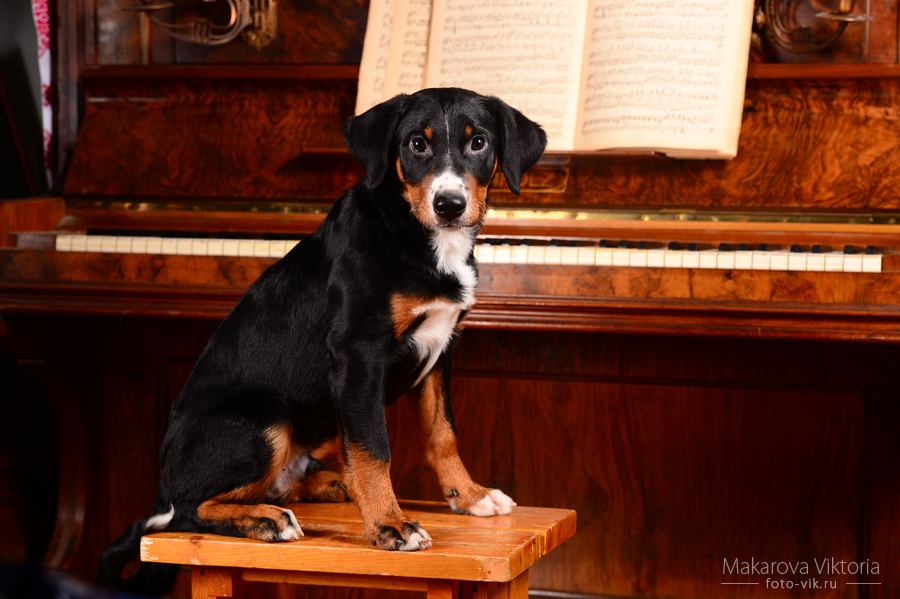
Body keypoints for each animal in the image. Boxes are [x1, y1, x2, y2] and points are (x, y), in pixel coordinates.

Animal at [98, 88, 548, 596]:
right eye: (416, 144)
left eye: (478, 143)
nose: (449, 204)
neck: (417, 236)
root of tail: (162, 485)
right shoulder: (358, 355)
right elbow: (374, 451)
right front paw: (390, 525)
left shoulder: (441, 349)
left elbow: (442, 433)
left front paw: (469, 496)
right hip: (265, 419)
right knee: (189, 512)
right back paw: (267, 520)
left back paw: (326, 486)